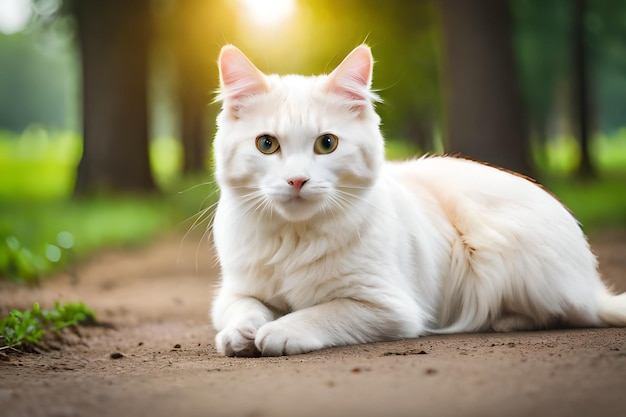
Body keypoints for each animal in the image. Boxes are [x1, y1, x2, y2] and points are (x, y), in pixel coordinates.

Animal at [210, 44, 624, 354]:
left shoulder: (389, 306)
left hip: (494, 250)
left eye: (326, 144)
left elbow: (321, 312)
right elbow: (242, 310)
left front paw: (280, 330)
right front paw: (241, 335)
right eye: (267, 145)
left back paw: (504, 320)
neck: (294, 238)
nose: (297, 180)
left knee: (570, 313)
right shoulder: (234, 292)